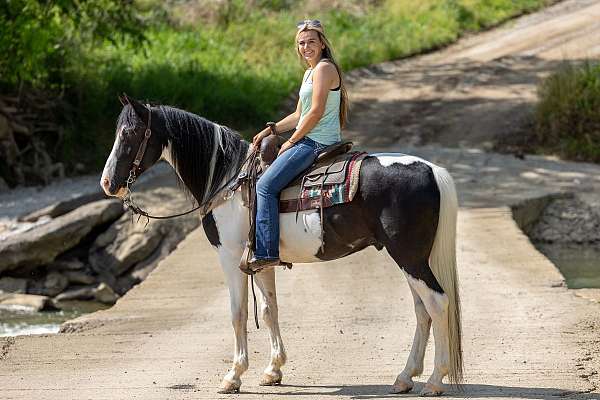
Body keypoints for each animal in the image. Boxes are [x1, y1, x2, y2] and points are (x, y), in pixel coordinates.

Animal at [101, 96, 462, 394]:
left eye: (129, 134)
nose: (107, 183)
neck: (227, 181)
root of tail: (432, 170)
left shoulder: (229, 257)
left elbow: (238, 313)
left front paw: (234, 376)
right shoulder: (260, 259)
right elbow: (269, 309)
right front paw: (273, 370)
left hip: (409, 256)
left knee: (437, 303)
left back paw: (434, 380)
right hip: (411, 257)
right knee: (422, 309)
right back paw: (404, 377)